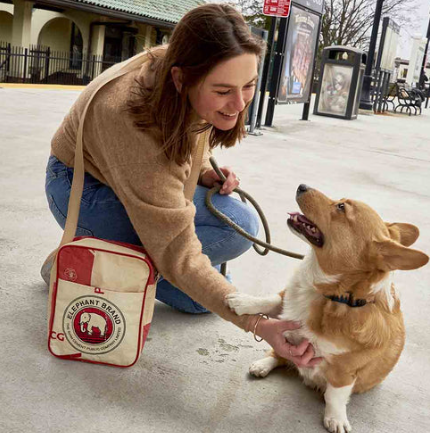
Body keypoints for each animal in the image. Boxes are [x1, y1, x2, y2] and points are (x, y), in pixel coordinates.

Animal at [227, 185, 428, 432]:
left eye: (341, 207)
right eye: (341, 200)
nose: (301, 186)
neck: (332, 296)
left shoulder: (344, 371)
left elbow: (334, 395)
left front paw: (335, 419)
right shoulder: (287, 301)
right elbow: (270, 300)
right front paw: (242, 302)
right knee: (277, 354)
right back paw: (262, 364)